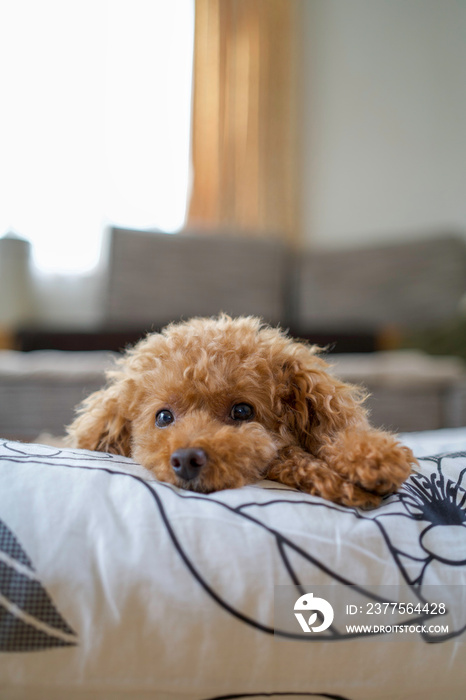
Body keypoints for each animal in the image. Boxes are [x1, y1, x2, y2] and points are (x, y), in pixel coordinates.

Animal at [66, 318, 416, 508]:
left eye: (243, 410)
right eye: (163, 417)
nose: (186, 460)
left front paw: (372, 457)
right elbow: (289, 456)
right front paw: (340, 482)